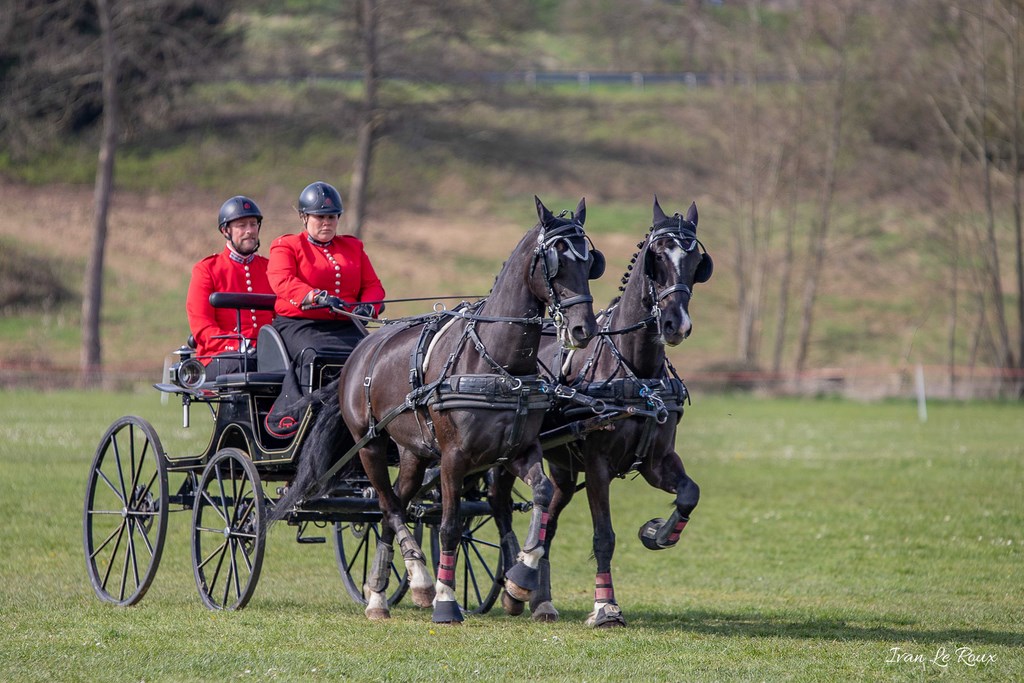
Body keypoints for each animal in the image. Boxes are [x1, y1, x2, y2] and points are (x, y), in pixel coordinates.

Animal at [276, 194, 602, 622]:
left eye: (590, 261)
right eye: (556, 260)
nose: (584, 330)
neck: (495, 361)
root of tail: (359, 353)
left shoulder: (519, 450)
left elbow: (543, 496)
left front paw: (520, 580)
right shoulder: (453, 457)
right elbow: (448, 525)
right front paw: (446, 600)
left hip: (412, 453)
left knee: (394, 504)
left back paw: (380, 594)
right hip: (370, 445)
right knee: (389, 505)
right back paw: (418, 582)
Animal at [491, 194, 716, 626]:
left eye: (698, 261)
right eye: (656, 257)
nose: (676, 324)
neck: (635, 371)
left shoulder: (657, 460)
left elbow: (689, 494)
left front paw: (658, 532)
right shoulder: (598, 466)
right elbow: (604, 536)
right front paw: (605, 606)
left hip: (561, 470)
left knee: (548, 523)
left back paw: (539, 598)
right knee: (498, 509)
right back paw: (513, 584)